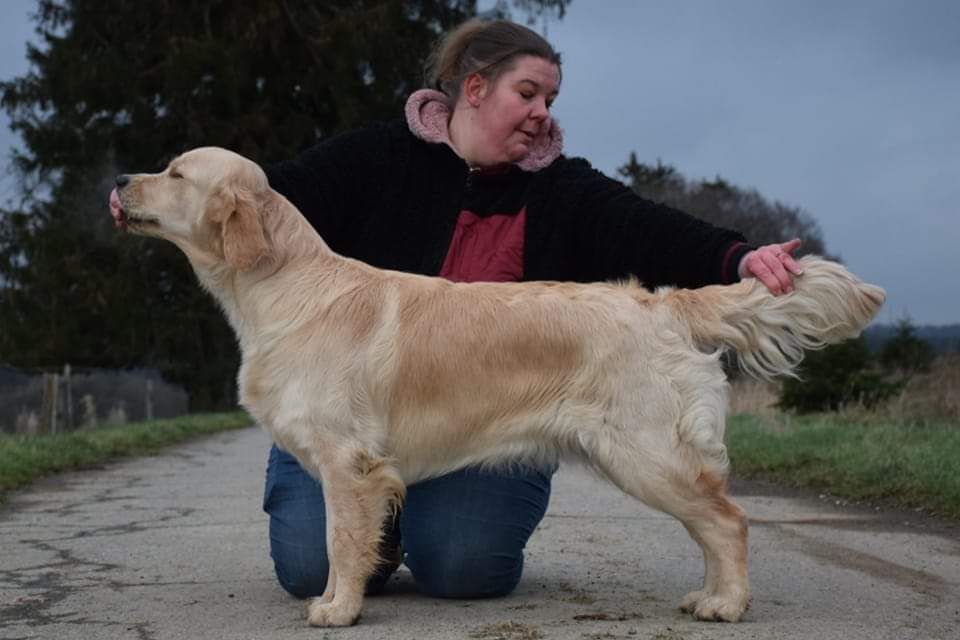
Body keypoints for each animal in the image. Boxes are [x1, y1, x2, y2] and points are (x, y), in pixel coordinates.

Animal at [109, 145, 880, 624]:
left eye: (174, 173)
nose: (117, 181)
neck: (285, 287)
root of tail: (661, 303)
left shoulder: (347, 461)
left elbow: (338, 540)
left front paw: (338, 609)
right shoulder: (348, 467)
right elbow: (338, 542)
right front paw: (340, 600)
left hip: (646, 453)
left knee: (728, 521)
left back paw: (728, 605)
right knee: (715, 524)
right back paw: (711, 597)